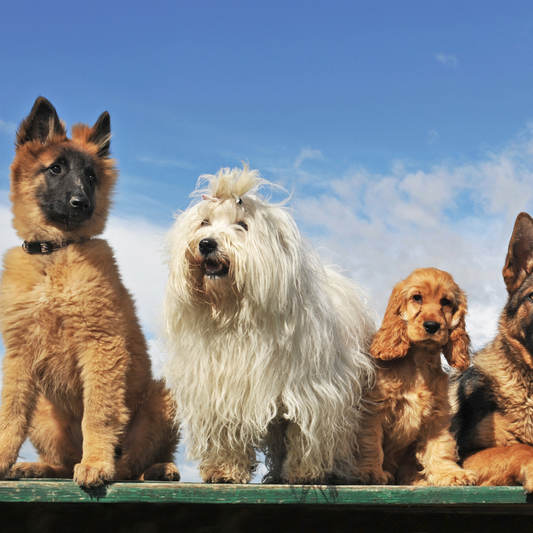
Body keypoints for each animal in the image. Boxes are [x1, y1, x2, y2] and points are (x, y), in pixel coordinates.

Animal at [0, 95, 180, 486]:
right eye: (55, 169)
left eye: (91, 177)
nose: (81, 203)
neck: (55, 253)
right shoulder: (20, 355)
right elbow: (10, 412)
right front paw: (2, 457)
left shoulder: (101, 344)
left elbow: (99, 412)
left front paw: (97, 462)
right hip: (44, 412)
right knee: (64, 463)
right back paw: (38, 467)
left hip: (160, 400)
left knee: (133, 465)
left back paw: (156, 468)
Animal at [162, 165, 374, 482]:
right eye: (204, 222)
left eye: (242, 226)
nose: (207, 243)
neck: (235, 313)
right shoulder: (219, 389)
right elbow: (225, 431)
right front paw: (224, 469)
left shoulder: (312, 392)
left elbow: (304, 432)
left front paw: (303, 472)